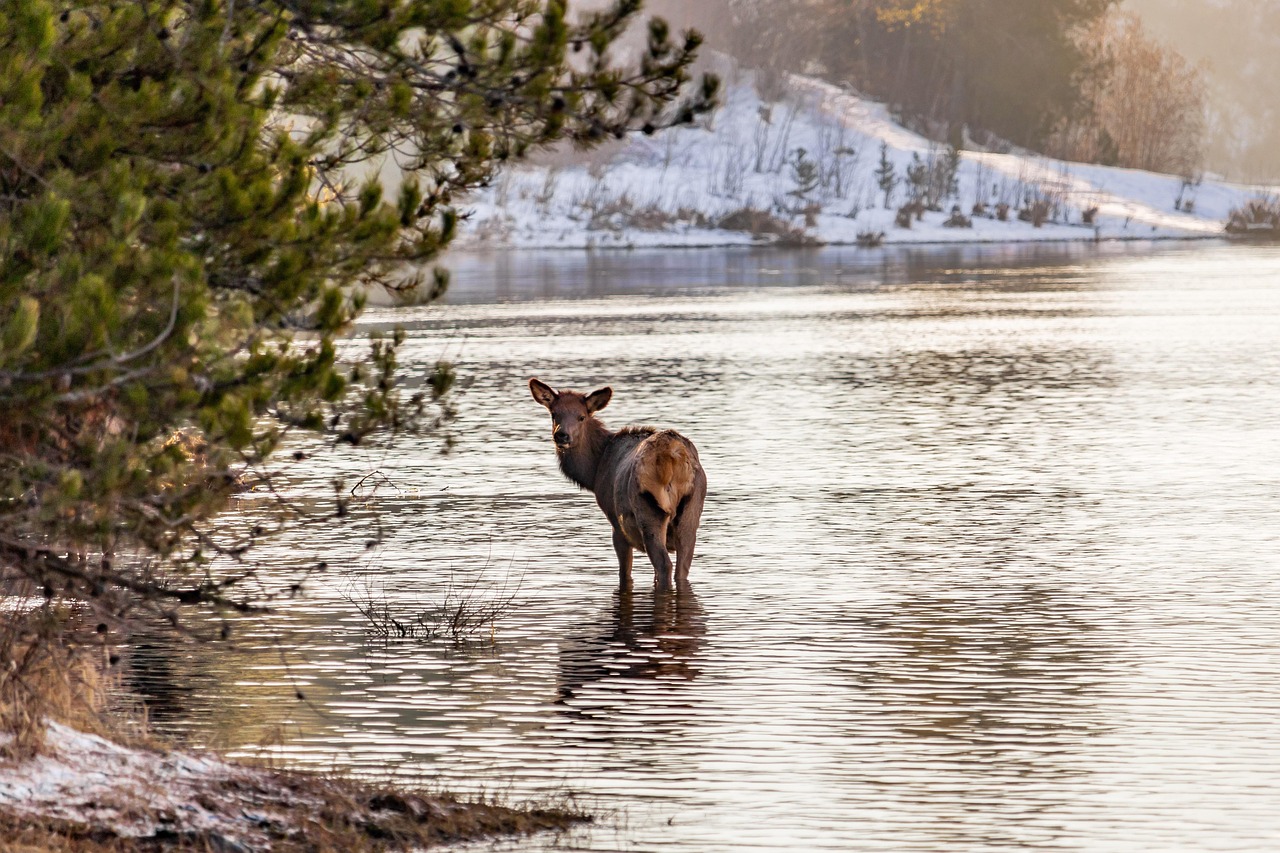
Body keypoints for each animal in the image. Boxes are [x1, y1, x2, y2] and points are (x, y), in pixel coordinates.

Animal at [529, 376, 711, 589]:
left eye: (581, 416)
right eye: (554, 414)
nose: (561, 435)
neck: (594, 472)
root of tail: (672, 455)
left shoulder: (616, 523)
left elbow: (624, 573)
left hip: (647, 510)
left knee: (664, 565)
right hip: (692, 508)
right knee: (682, 567)